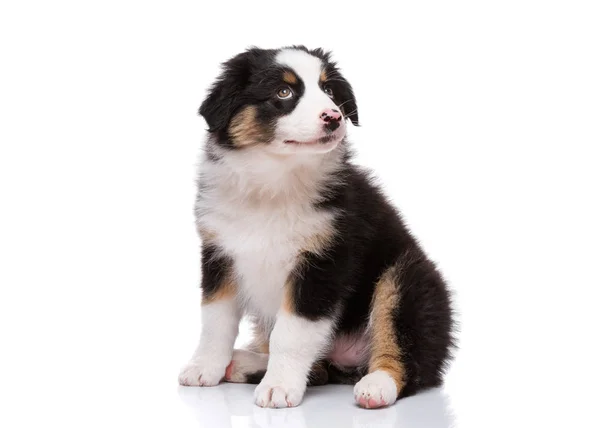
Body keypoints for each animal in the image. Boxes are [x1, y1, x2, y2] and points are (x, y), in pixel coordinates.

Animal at [178, 46, 454, 408]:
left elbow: (291, 333)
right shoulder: (219, 253)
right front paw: (204, 367)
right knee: (319, 369)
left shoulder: (324, 263)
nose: (334, 116)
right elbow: (215, 320)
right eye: (284, 92)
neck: (275, 183)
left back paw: (377, 385)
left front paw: (279, 387)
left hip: (407, 280)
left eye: (330, 91)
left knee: (407, 354)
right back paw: (242, 363)